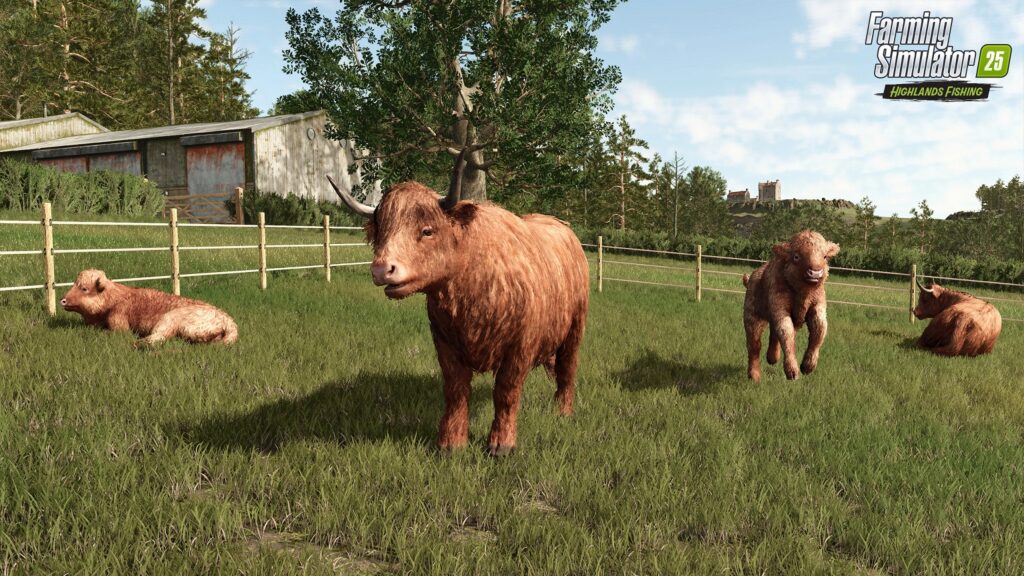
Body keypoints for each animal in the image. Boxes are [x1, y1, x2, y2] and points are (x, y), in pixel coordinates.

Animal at [60, 269, 238, 347]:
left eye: (84, 288)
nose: (63, 300)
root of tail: (229, 321)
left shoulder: (119, 323)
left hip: (170, 319)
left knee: (159, 337)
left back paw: (136, 343)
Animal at [327, 150, 589, 456]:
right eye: (381, 231)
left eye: (427, 231)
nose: (381, 269)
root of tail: (561, 226)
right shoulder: (445, 344)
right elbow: (456, 391)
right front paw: (451, 443)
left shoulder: (520, 347)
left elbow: (506, 392)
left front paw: (501, 444)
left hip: (575, 329)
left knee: (567, 370)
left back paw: (563, 412)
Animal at [741, 230, 840, 381]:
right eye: (796, 256)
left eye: (825, 256)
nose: (815, 272)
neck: (803, 294)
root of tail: (751, 278)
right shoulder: (780, 309)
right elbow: (787, 334)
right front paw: (793, 372)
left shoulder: (818, 308)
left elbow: (819, 331)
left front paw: (807, 367)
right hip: (753, 317)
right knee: (754, 345)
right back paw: (754, 376)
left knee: (773, 335)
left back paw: (772, 358)